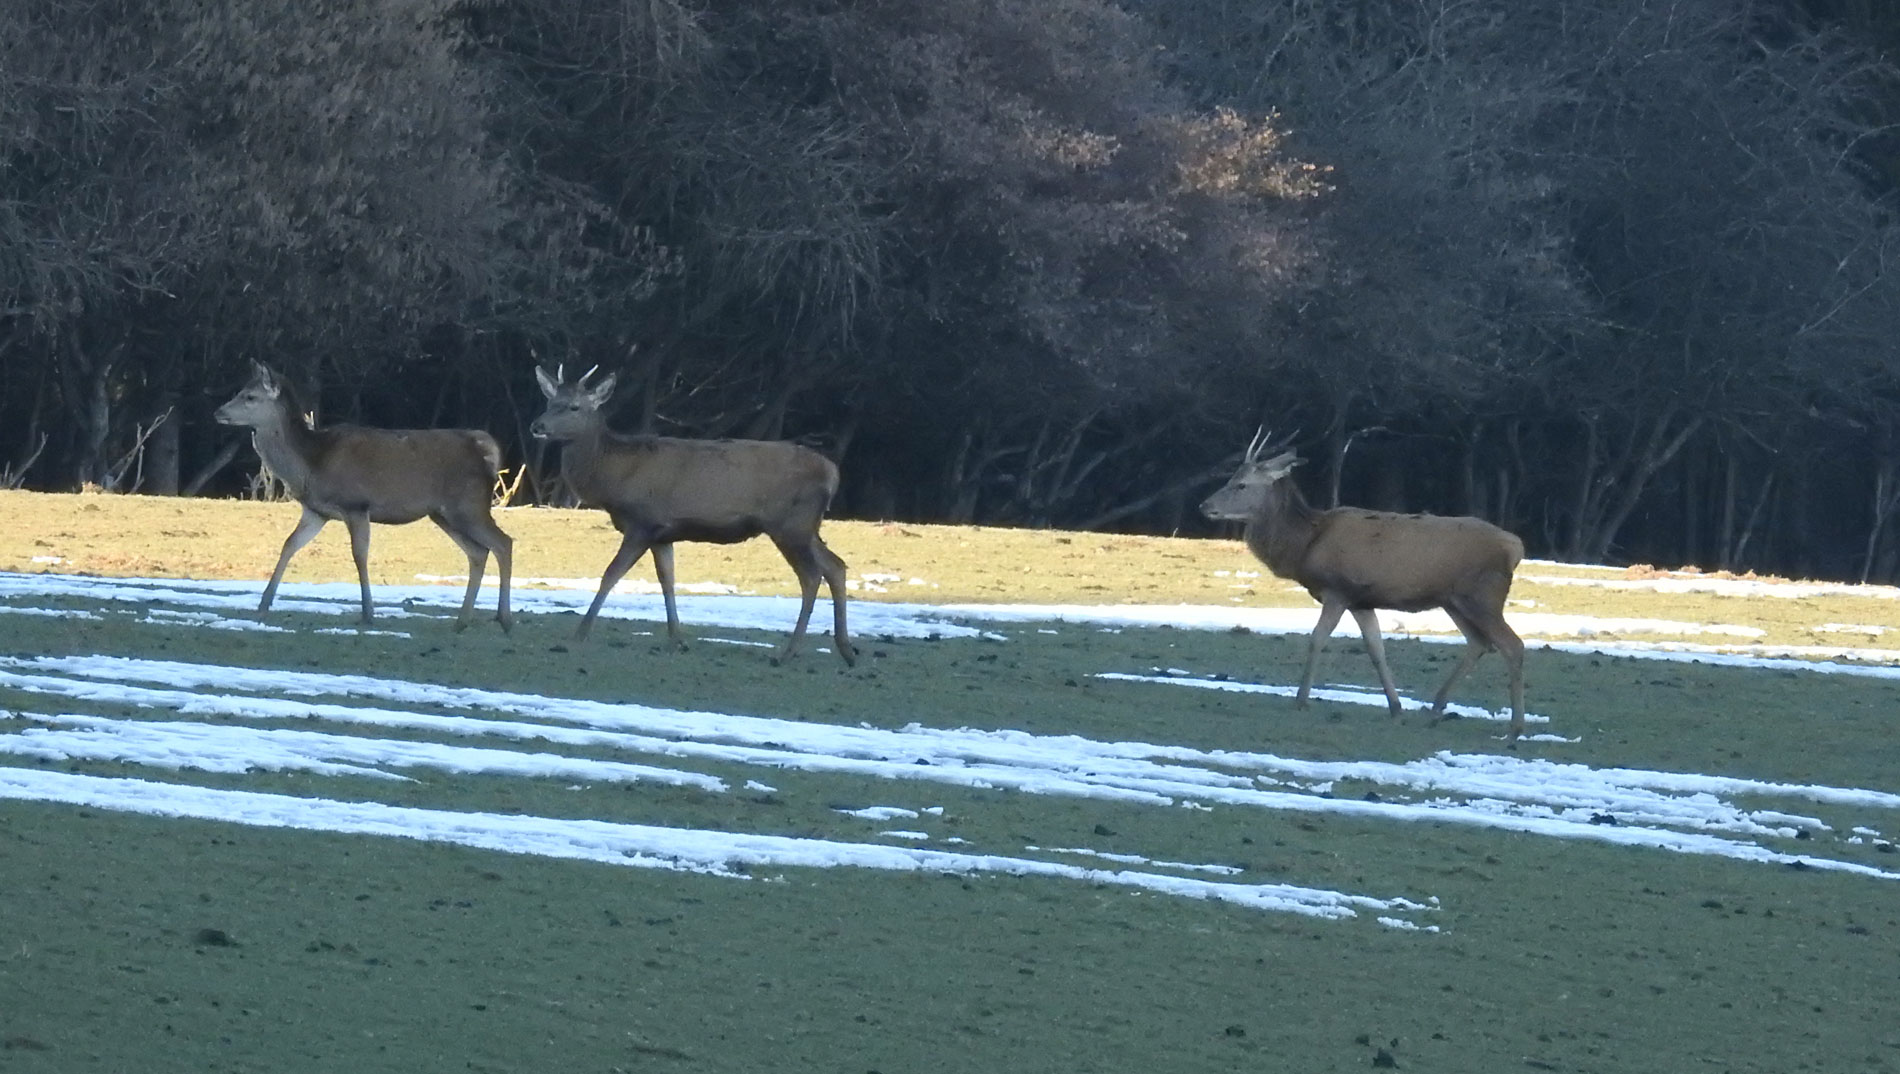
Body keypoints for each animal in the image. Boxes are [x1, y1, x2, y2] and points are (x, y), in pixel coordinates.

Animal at [216, 359, 516, 627]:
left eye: (250, 396)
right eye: (240, 391)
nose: (218, 412)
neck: (312, 463)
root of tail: (485, 451)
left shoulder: (356, 505)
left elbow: (359, 555)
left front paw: (368, 613)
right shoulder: (316, 511)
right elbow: (289, 544)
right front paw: (263, 605)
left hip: (469, 504)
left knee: (503, 543)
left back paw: (504, 618)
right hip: (443, 514)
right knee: (478, 552)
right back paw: (462, 620)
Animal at [528, 363, 855, 661]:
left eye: (574, 406)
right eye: (549, 402)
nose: (537, 426)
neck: (613, 478)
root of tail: (833, 473)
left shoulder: (642, 522)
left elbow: (611, 574)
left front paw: (581, 632)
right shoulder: (662, 533)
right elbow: (667, 581)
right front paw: (678, 639)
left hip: (790, 524)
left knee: (812, 575)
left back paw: (790, 651)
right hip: (806, 527)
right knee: (835, 565)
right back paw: (846, 650)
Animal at [1200, 431, 1527, 741]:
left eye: (1241, 484)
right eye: (1231, 479)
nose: (1205, 505)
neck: (1304, 545)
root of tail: (1516, 548)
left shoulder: (1337, 590)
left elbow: (1317, 639)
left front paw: (1301, 700)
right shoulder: (1361, 601)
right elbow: (1376, 649)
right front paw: (1396, 708)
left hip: (1483, 595)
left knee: (1513, 645)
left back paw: (1514, 728)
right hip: (1453, 600)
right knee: (1479, 642)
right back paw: (1436, 708)